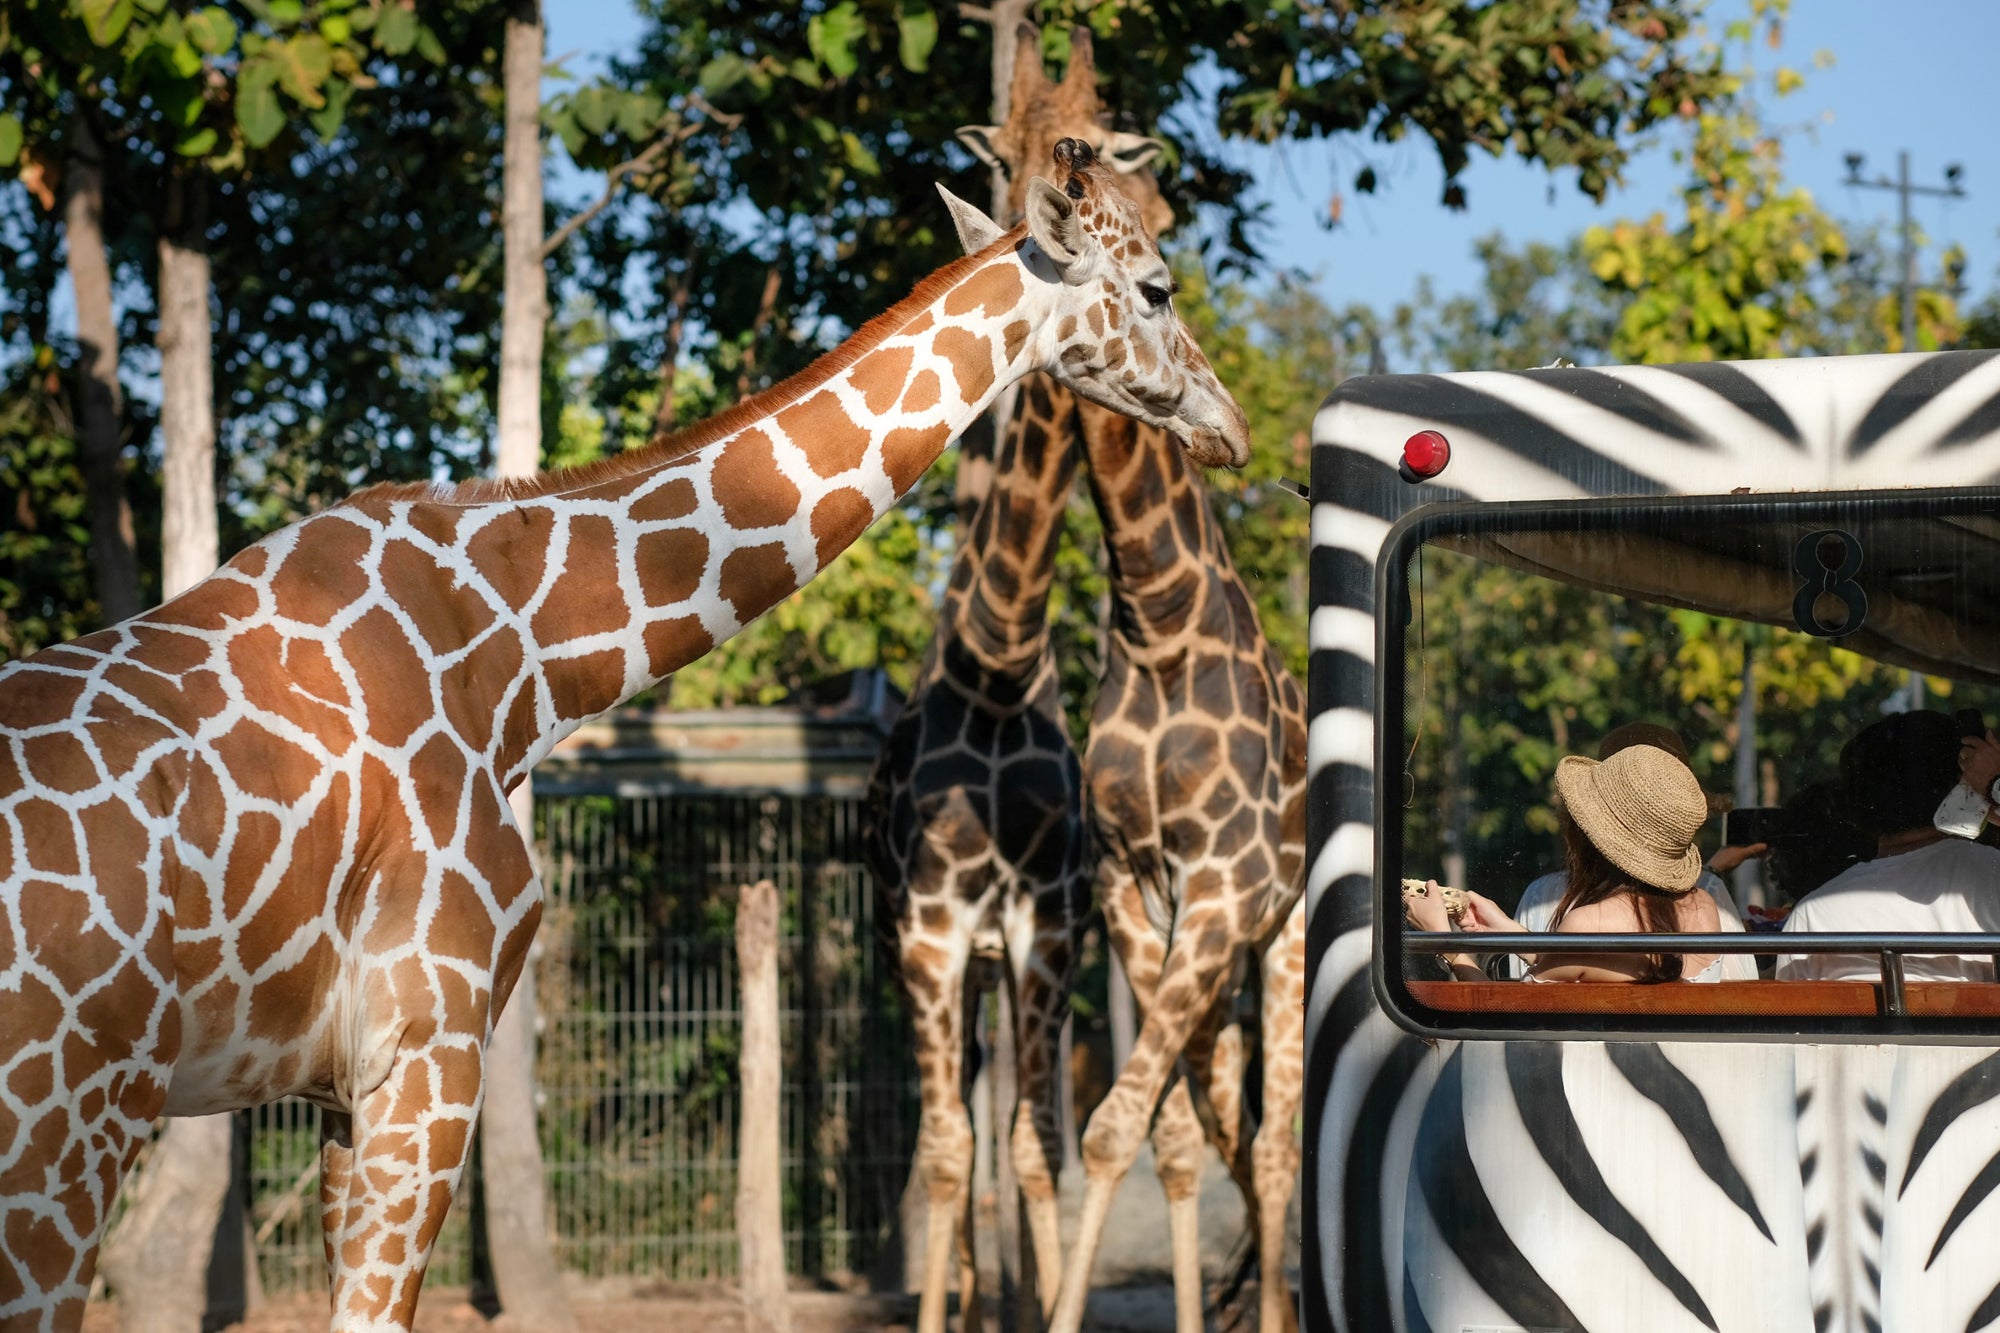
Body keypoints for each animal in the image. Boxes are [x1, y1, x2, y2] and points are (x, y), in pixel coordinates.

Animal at [0, 143, 1248, 1328]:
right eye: (1155, 287)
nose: (1228, 426)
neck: (523, 660)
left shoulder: (340, 1089)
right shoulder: (427, 1046)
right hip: (67, 1125)